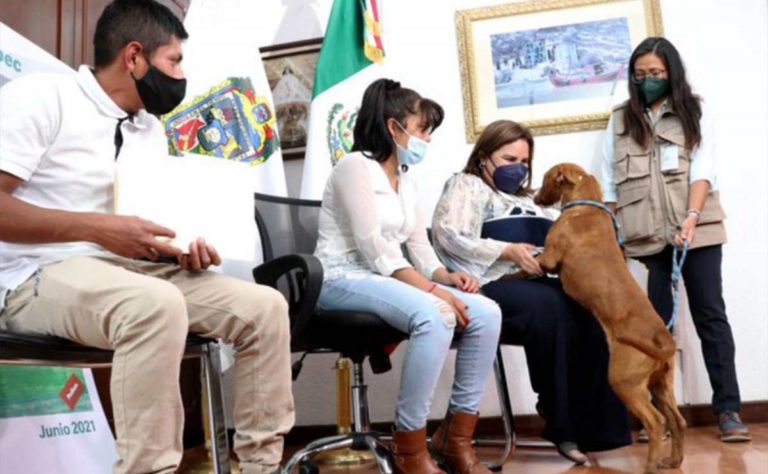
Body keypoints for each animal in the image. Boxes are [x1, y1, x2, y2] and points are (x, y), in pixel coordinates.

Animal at [533, 163, 685, 474]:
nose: (532, 196)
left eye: (544, 179)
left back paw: (650, 465)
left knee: (656, 422)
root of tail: (664, 338)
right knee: (676, 421)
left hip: (624, 382)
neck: (586, 206)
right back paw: (673, 460)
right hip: (661, 386)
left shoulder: (547, 260)